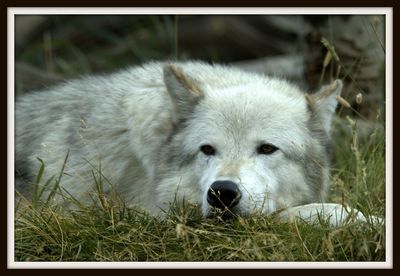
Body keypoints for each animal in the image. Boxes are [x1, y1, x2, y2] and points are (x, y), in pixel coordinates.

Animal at [15, 61, 378, 225]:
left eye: (266, 148)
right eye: (207, 149)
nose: (223, 193)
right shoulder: (155, 213)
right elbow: (304, 211)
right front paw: (362, 219)